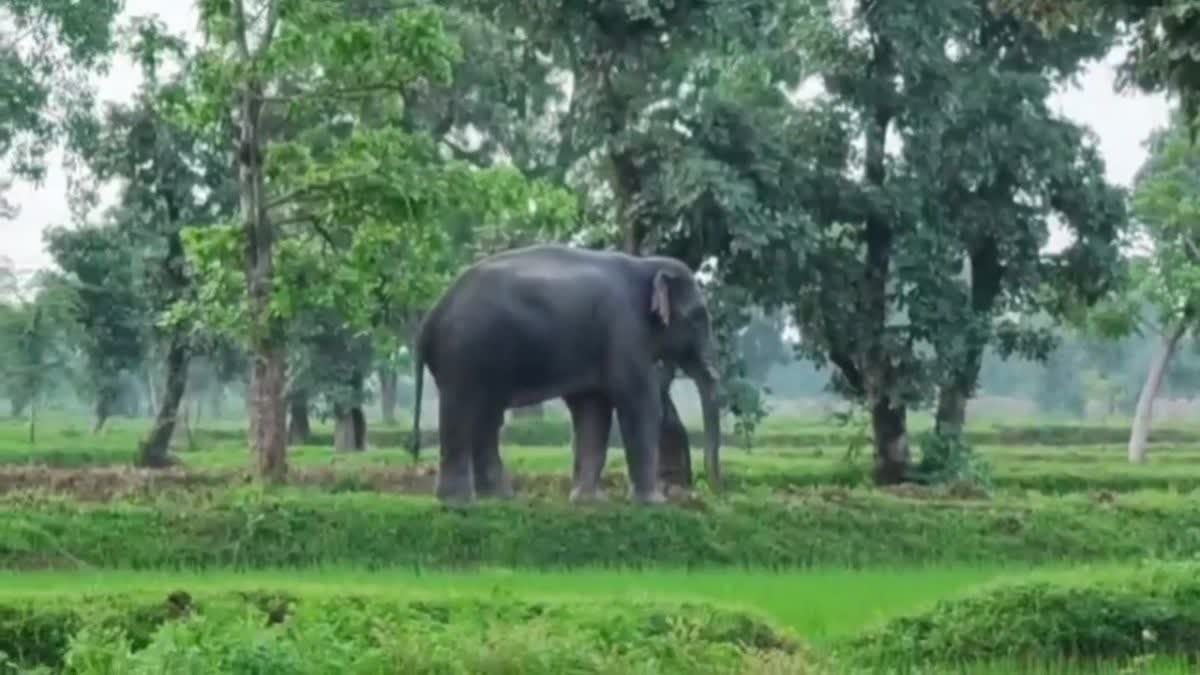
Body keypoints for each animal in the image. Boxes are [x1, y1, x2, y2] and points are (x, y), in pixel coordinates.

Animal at [410, 241, 720, 499]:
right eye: (698, 317)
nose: (708, 487)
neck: (645, 264)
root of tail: (428, 321)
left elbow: (593, 410)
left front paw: (589, 501)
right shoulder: (624, 330)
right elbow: (639, 402)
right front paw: (653, 503)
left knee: (486, 415)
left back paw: (499, 498)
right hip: (464, 353)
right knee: (463, 410)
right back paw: (458, 502)